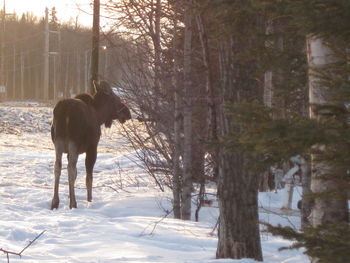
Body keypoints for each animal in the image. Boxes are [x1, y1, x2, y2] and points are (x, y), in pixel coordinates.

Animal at [50, 81, 131, 210]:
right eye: (116, 99)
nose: (128, 113)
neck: (99, 116)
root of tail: (65, 111)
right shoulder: (92, 148)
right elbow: (88, 177)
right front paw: (89, 199)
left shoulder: (68, 151)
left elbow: (76, 174)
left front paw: (69, 196)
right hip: (74, 141)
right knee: (70, 168)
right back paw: (73, 203)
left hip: (58, 142)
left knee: (57, 167)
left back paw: (55, 202)